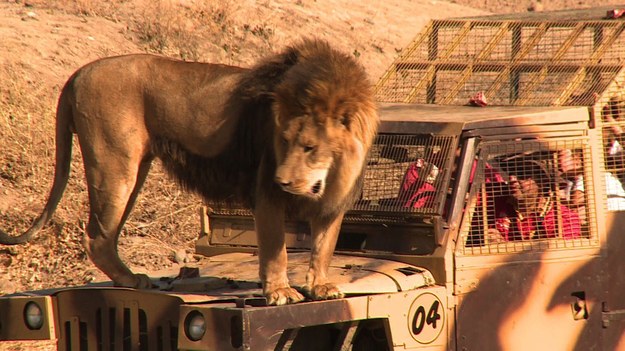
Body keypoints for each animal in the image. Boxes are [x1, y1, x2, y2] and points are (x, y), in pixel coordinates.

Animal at [0, 39, 378, 306]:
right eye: (284, 140)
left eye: (310, 147)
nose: (282, 180)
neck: (332, 174)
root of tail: (80, 72)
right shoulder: (266, 195)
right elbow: (276, 249)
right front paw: (280, 292)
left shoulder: (333, 203)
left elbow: (324, 247)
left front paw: (321, 286)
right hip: (114, 165)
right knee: (96, 237)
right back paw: (131, 280)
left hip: (134, 170)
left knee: (104, 234)